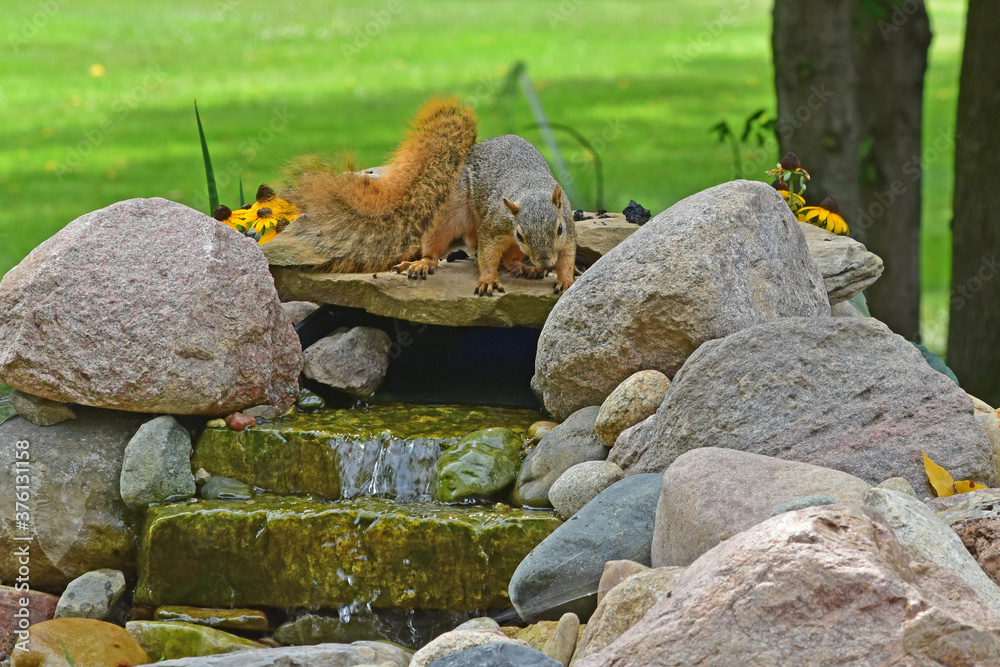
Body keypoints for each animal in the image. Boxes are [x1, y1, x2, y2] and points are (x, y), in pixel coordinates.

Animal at [394, 134, 577, 296]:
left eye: (559, 229)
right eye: (520, 235)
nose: (546, 264)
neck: (531, 189)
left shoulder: (567, 226)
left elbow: (567, 256)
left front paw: (566, 281)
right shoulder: (493, 226)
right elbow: (488, 255)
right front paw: (488, 280)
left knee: (509, 260)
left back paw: (526, 269)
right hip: (452, 210)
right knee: (436, 243)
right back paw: (424, 263)